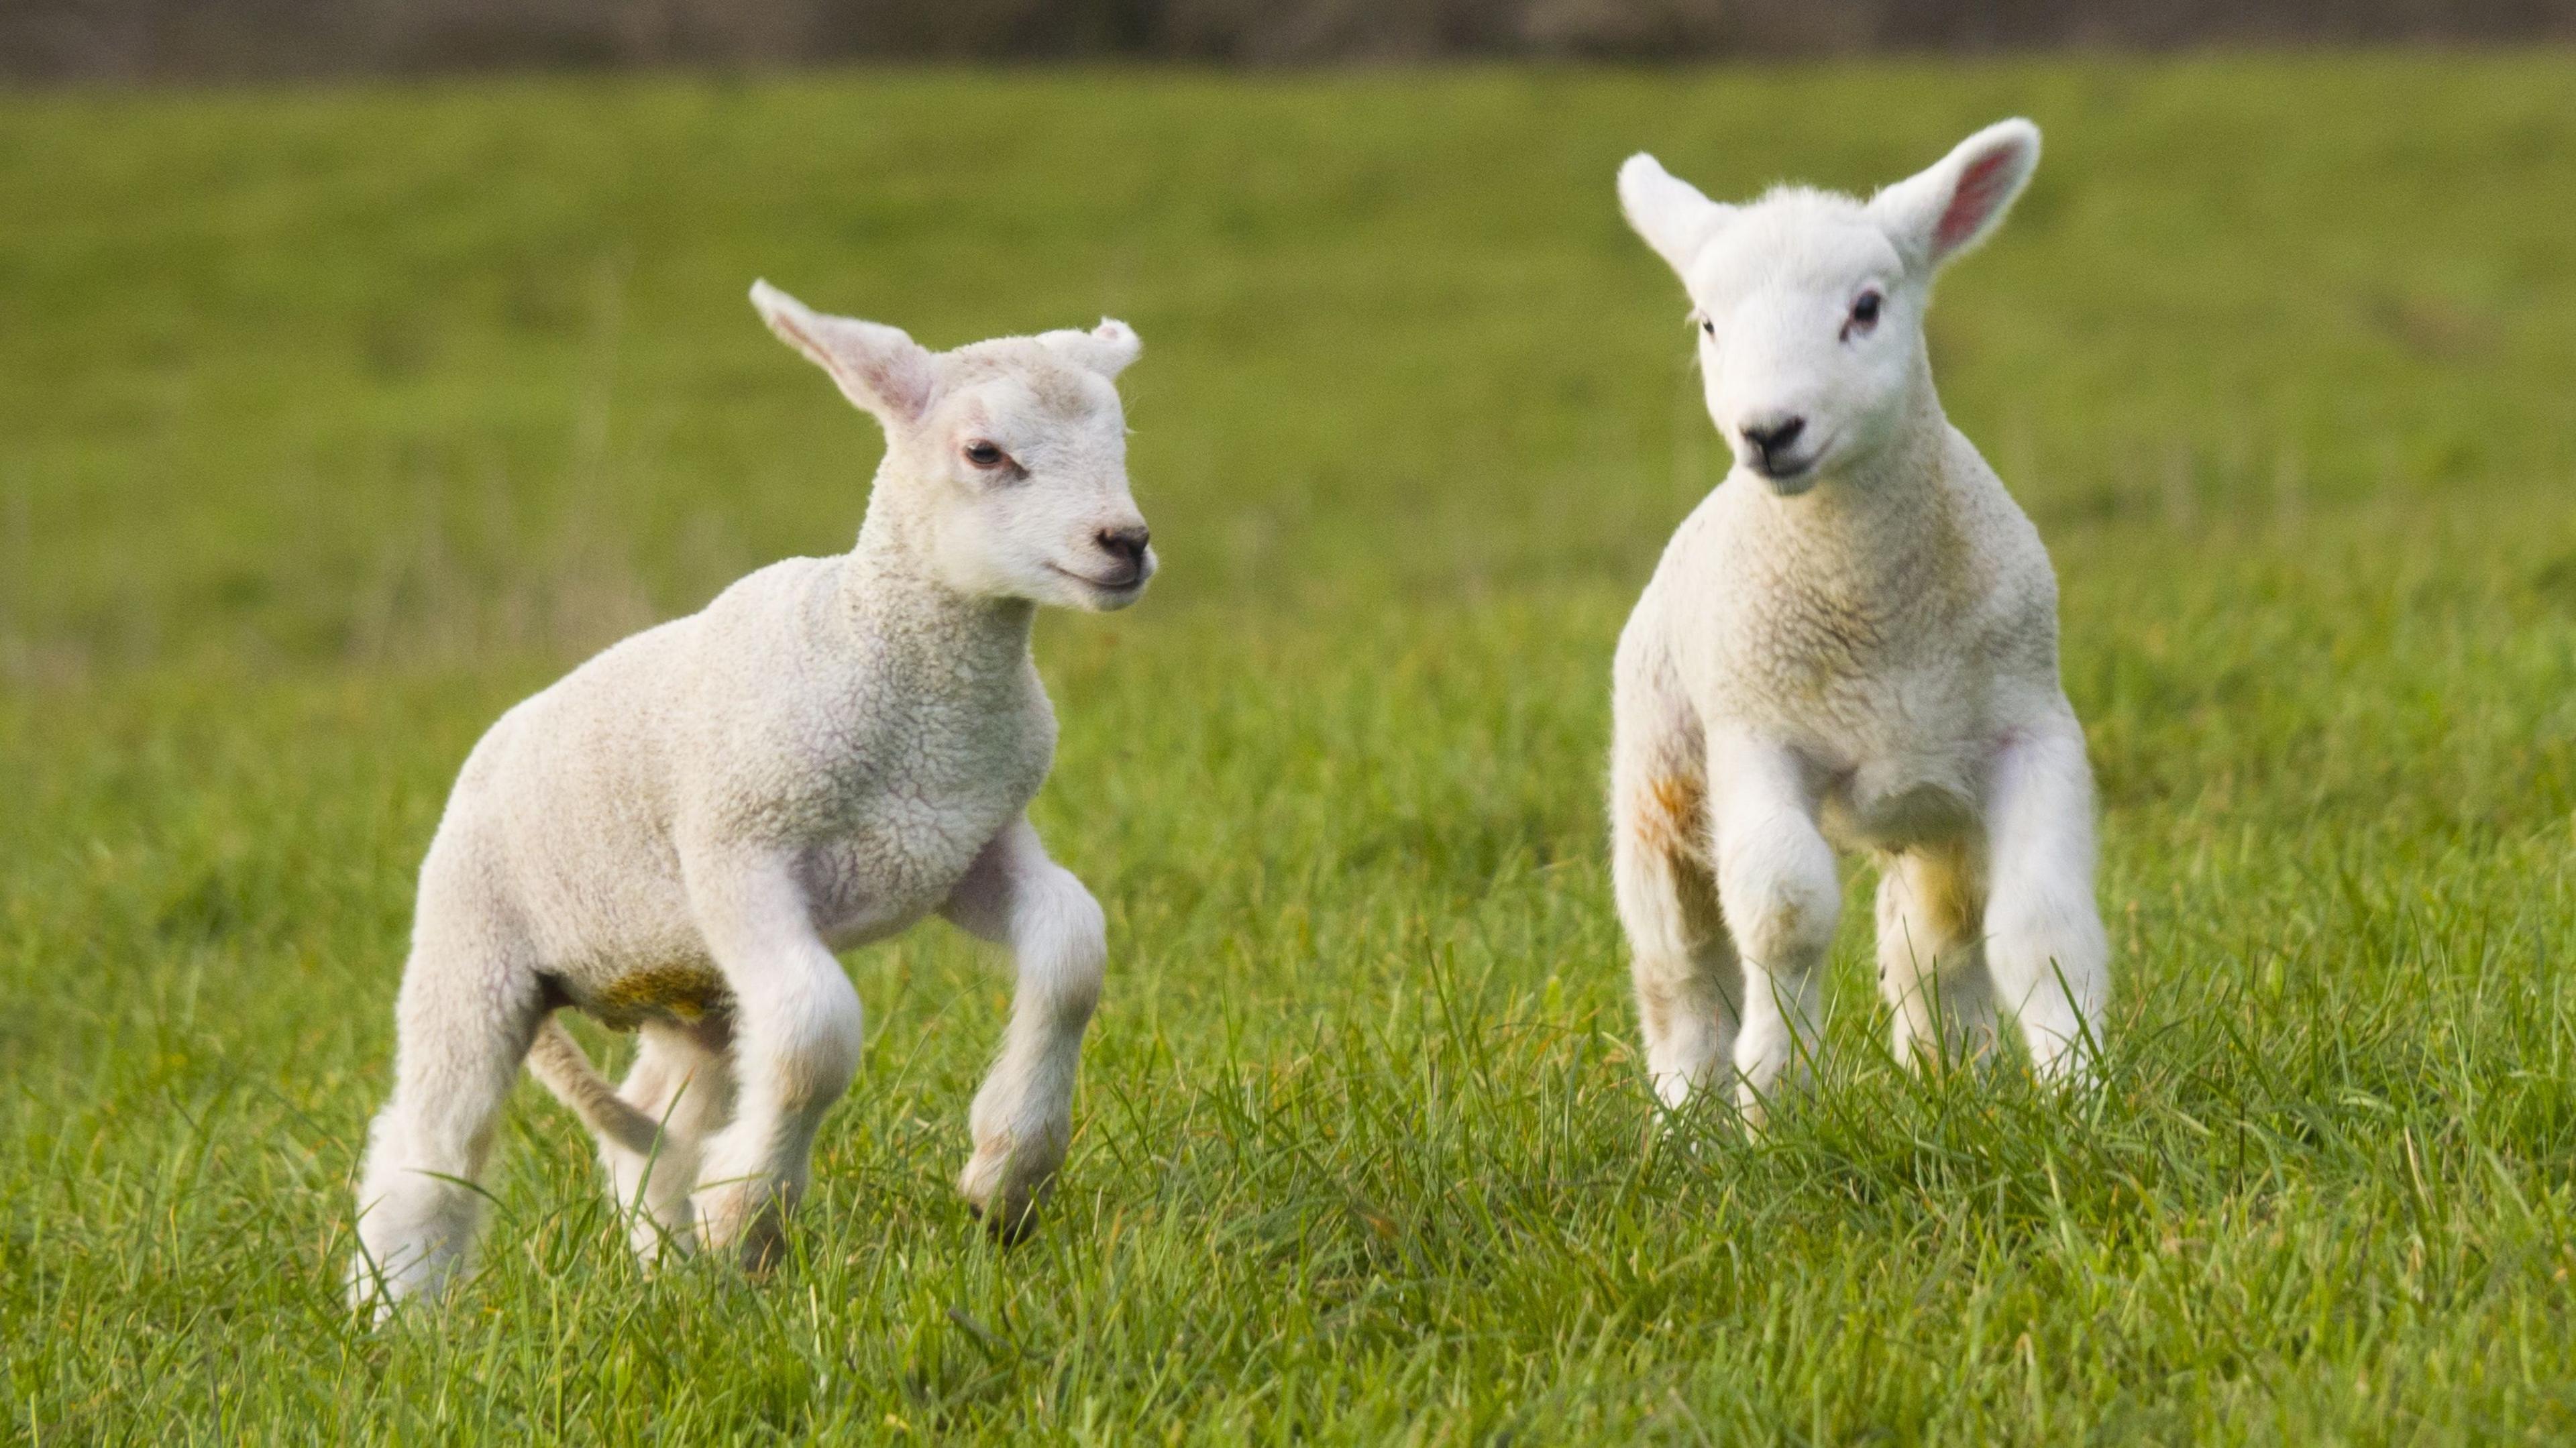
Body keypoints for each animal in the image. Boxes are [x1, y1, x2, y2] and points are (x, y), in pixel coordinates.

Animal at [348, 281, 1155, 1315]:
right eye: (985, 452)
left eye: (1120, 436)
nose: (1125, 544)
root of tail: (487, 746)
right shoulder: (739, 849)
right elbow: (815, 1033)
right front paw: (748, 1216)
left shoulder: (964, 841)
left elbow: (1074, 949)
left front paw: (1006, 1179)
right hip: (474, 945)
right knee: (430, 1141)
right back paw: (402, 1314)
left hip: (690, 987)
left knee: (658, 1115)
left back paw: (674, 1266)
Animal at [1607, 120, 2109, 1121]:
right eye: (1709, 323)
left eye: (1867, 308)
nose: (1769, 431)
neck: (1874, 615)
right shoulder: (1756, 734)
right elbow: (1785, 912)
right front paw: (1774, 1096)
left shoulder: (2030, 729)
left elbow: (2041, 922)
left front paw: (2081, 1089)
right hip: (1660, 781)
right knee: (1684, 975)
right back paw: (1685, 1121)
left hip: (1933, 807)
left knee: (1931, 942)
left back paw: (1949, 1083)